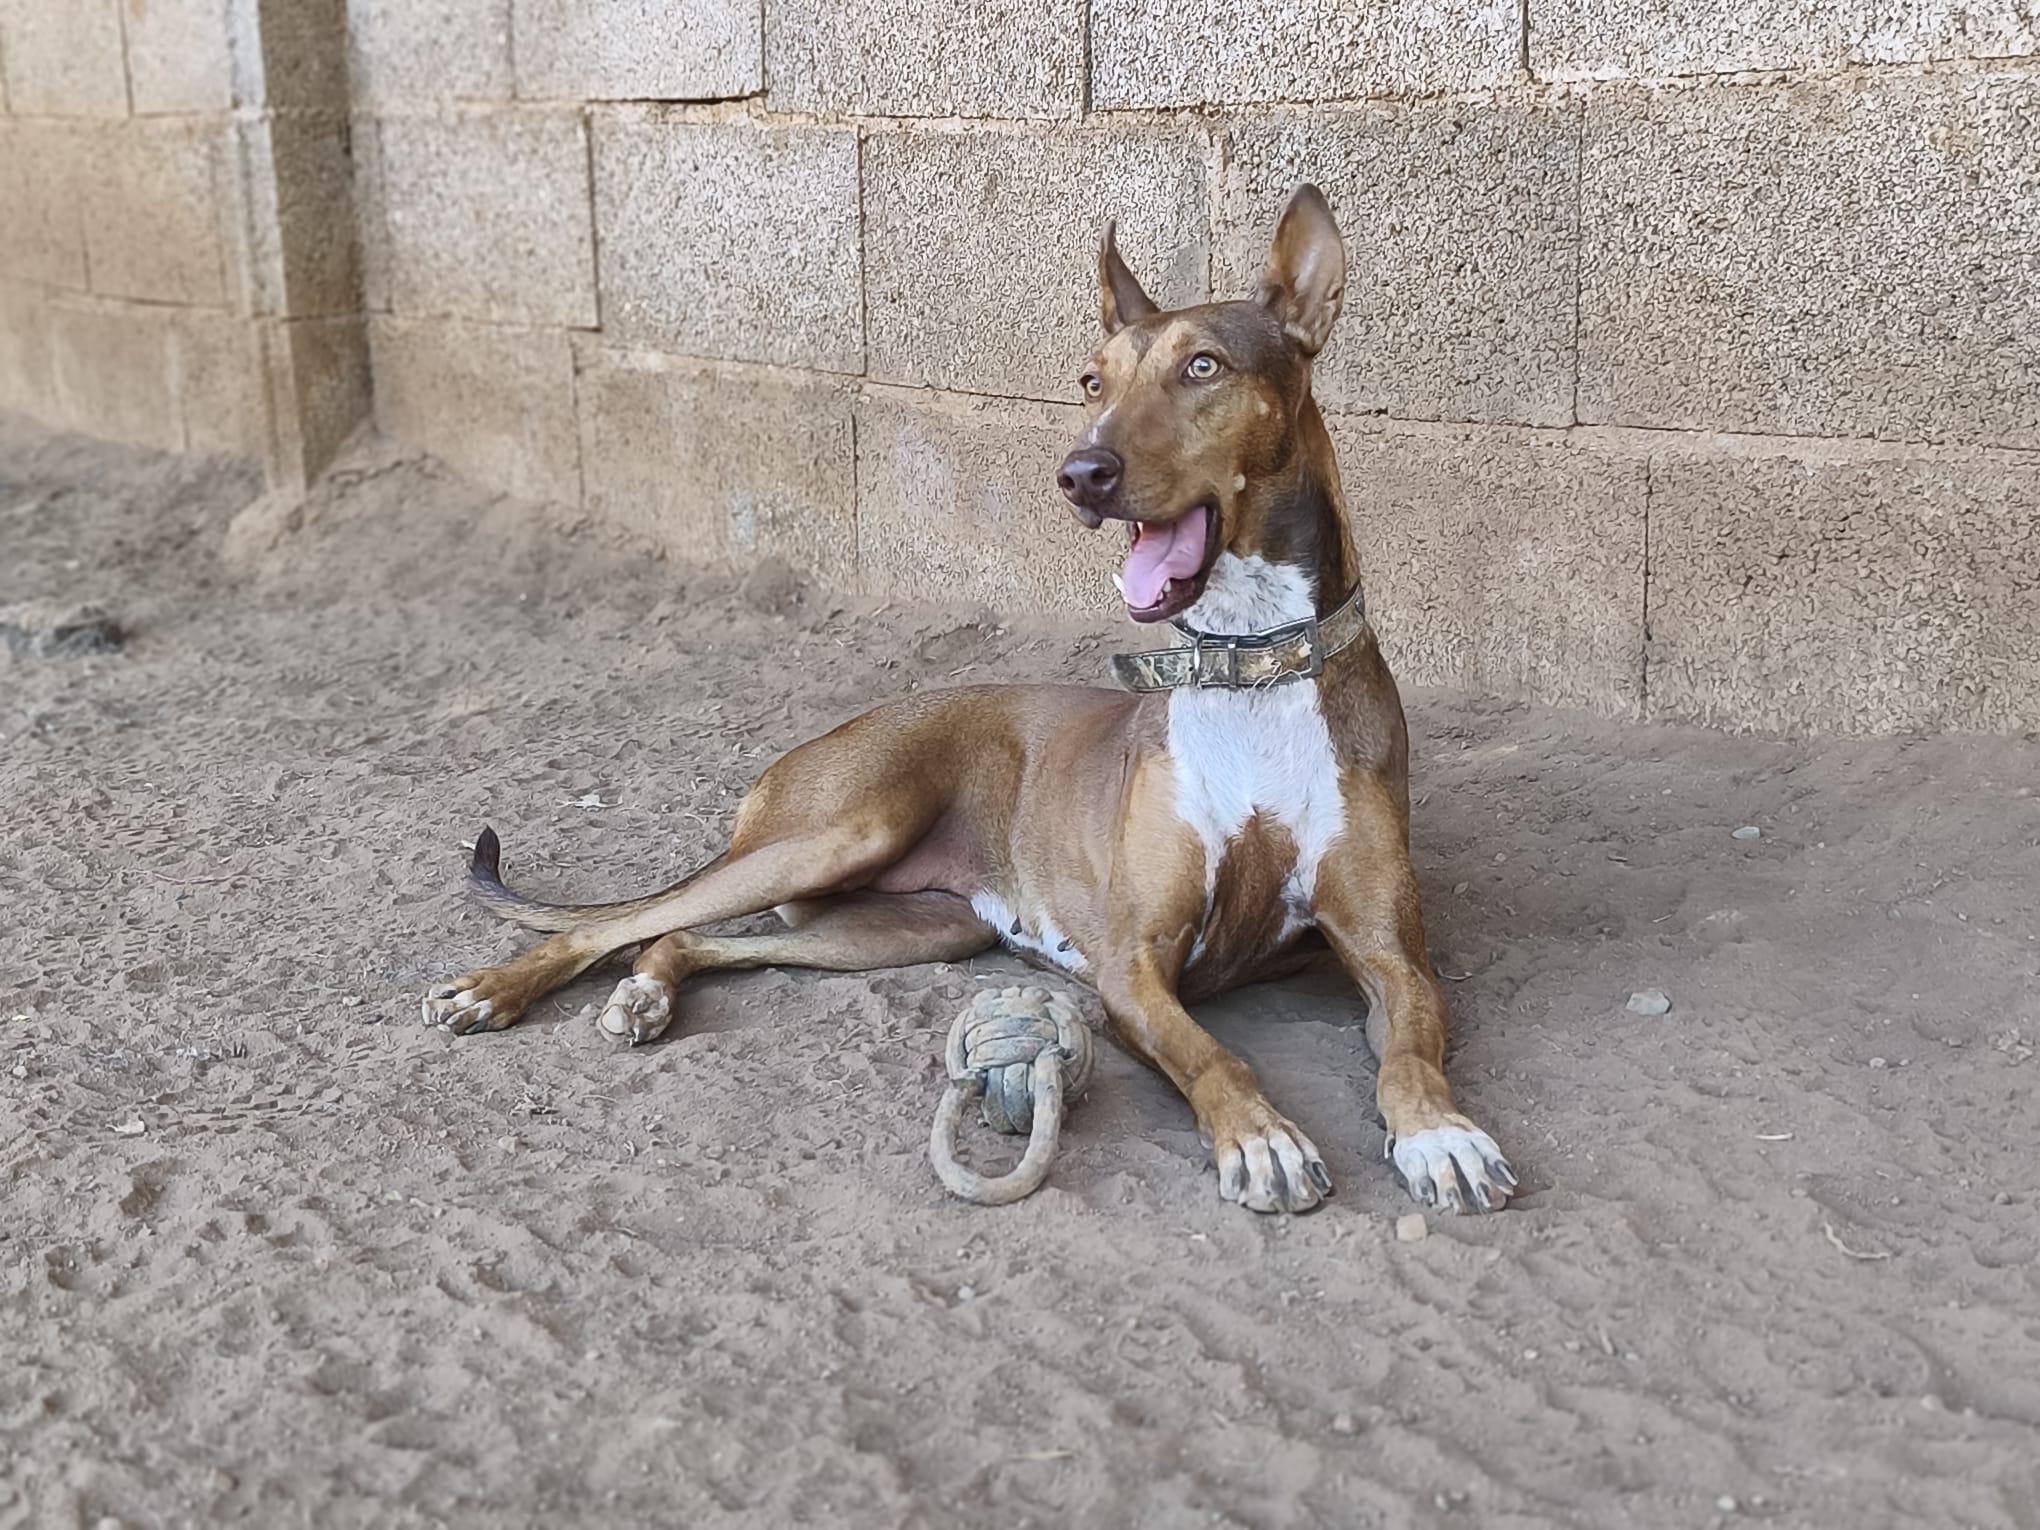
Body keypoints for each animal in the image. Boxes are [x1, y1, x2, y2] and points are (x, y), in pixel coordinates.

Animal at [421, 184, 1516, 1216]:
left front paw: (1442, 1137)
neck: (1251, 667)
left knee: (686, 936)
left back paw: (649, 993)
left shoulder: (1390, 955)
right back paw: (494, 989)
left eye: (1204, 367)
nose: (1081, 472)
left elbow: (1413, 1052)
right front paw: (1263, 1138)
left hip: (913, 928)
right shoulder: (1134, 964)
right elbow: (1216, 1055)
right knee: (617, 922)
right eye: (1092, 381)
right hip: (840, 830)